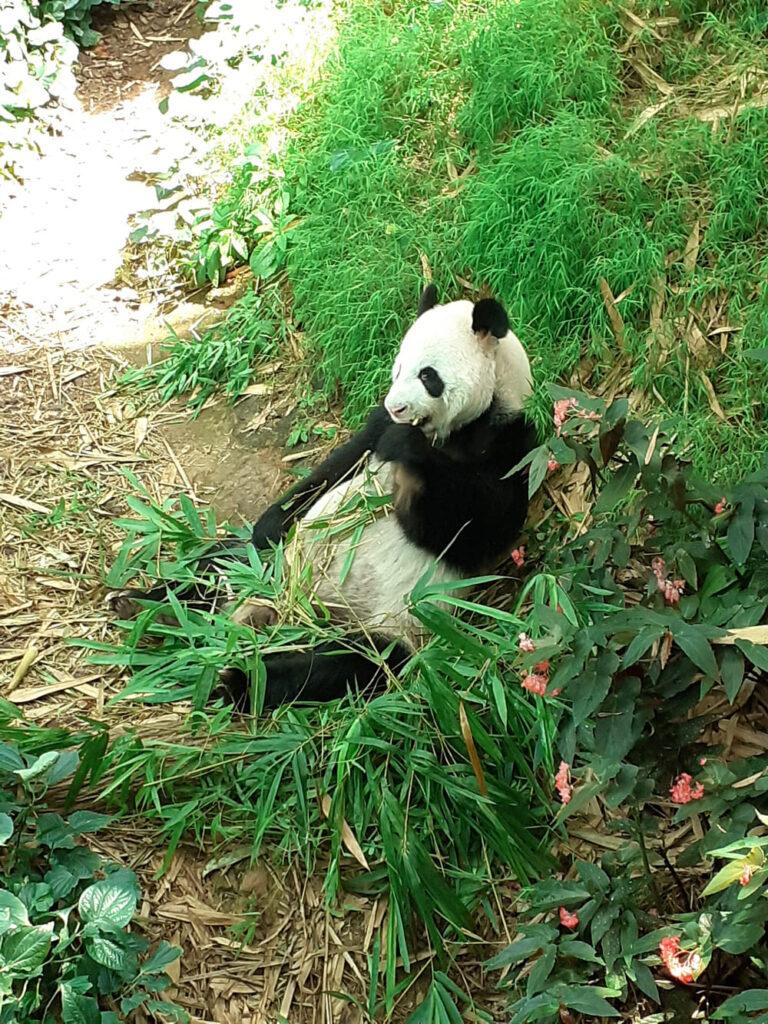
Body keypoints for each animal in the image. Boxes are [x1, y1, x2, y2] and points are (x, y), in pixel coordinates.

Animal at [108, 284, 536, 708]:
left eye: (428, 375)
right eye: (398, 368)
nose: (396, 407)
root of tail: (302, 607)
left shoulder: (511, 446)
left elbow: (472, 526)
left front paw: (409, 465)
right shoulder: (372, 432)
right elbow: (332, 471)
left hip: (398, 622)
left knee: (347, 664)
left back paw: (240, 680)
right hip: (272, 564)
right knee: (223, 563)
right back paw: (143, 605)